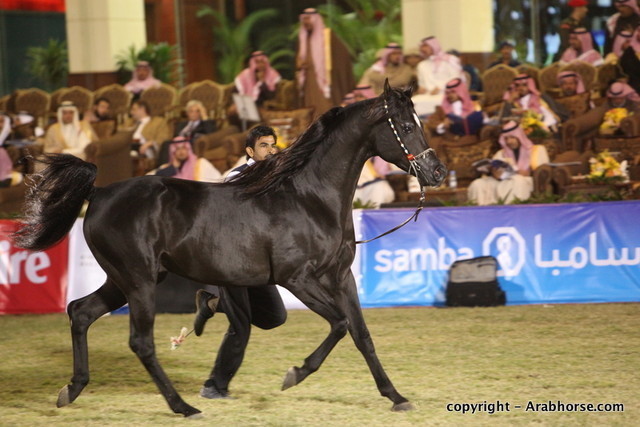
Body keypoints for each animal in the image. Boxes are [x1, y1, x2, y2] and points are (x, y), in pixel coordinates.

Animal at [13, 81, 446, 418]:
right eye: (404, 126)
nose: (437, 171)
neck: (308, 197)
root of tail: (100, 192)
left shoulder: (341, 279)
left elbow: (361, 334)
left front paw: (396, 397)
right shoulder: (297, 279)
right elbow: (340, 325)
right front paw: (293, 375)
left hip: (123, 279)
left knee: (80, 312)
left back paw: (72, 389)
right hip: (138, 280)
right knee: (140, 341)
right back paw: (183, 406)